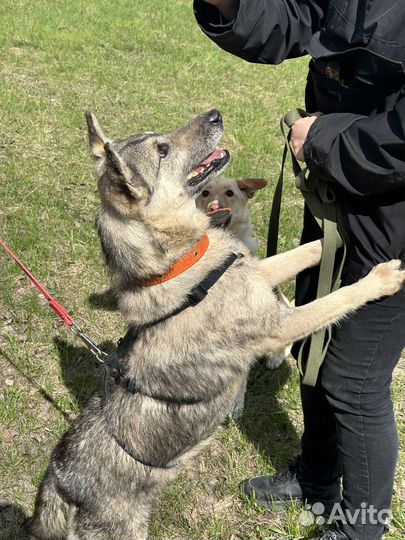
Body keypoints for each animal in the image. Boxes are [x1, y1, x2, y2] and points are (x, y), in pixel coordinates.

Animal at [26, 110, 402, 540]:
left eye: (160, 138)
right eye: (162, 149)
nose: (215, 115)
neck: (183, 264)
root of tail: (59, 486)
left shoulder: (258, 273)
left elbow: (306, 250)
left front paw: (339, 232)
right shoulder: (278, 325)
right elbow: (336, 300)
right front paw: (379, 279)